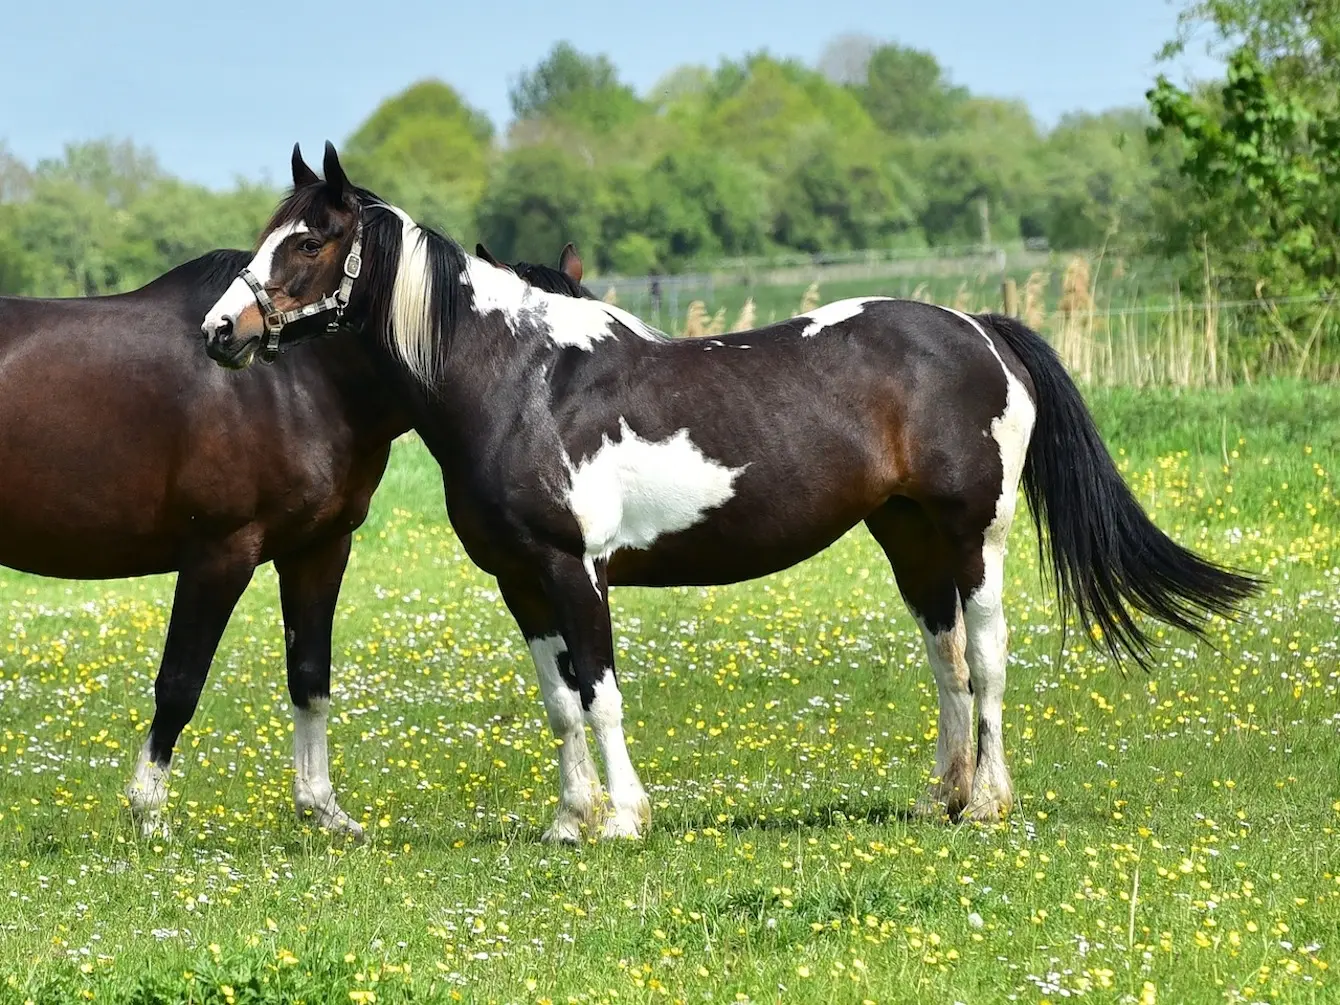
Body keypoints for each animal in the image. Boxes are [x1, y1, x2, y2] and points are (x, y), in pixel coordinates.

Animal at [2, 176, 407, 836]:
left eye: (308, 243)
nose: (222, 331)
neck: (300, 383)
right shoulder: (220, 553)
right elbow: (180, 683)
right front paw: (147, 812)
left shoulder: (319, 550)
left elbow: (310, 678)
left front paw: (322, 809)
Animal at [198, 145, 1254, 841]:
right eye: (269, 235)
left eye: (309, 241)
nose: (220, 330)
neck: (521, 380)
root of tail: (980, 329)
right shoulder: (520, 580)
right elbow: (558, 701)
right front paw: (569, 820)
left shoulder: (576, 571)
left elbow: (601, 694)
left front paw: (624, 818)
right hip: (907, 539)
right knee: (946, 661)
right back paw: (942, 797)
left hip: (973, 539)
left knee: (987, 660)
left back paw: (988, 801)